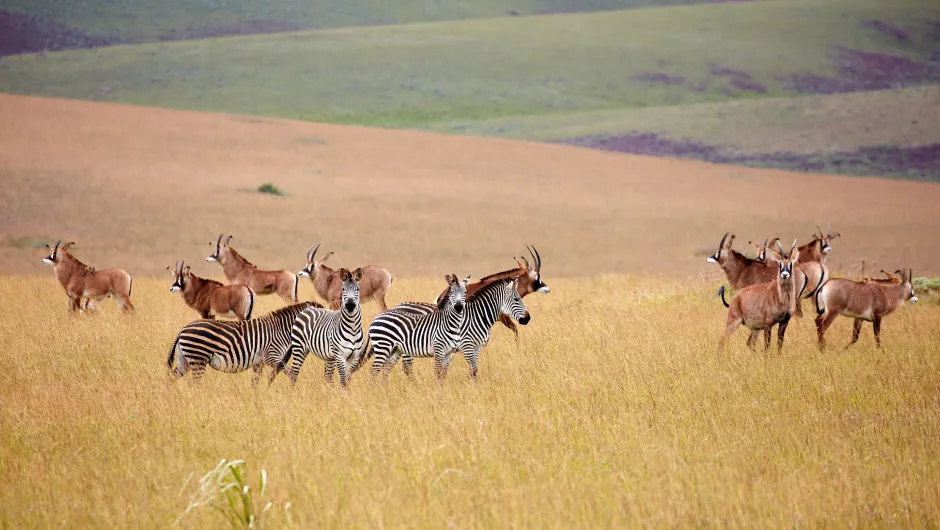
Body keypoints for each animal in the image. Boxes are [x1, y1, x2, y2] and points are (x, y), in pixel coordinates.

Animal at [166, 300, 320, 382]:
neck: (281, 331)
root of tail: (183, 329)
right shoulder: (271, 356)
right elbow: (289, 372)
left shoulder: (259, 362)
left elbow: (254, 382)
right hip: (198, 359)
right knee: (194, 384)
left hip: (185, 360)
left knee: (172, 378)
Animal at [388, 274, 528, 378]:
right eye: (517, 299)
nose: (528, 318)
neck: (477, 316)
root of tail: (397, 306)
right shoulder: (467, 345)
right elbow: (473, 370)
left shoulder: (476, 347)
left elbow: (472, 370)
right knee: (407, 368)